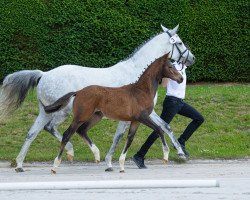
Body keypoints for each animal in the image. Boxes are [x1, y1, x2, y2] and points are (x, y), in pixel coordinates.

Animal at [44, 53, 184, 173]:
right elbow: (159, 129)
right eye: (170, 66)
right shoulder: (143, 117)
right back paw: (55, 166)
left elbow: (129, 139)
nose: (181, 79)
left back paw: (97, 156)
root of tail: (78, 92)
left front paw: (121, 166)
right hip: (80, 117)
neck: (141, 91)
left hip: (96, 116)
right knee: (67, 134)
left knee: (81, 130)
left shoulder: (135, 121)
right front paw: (166, 156)